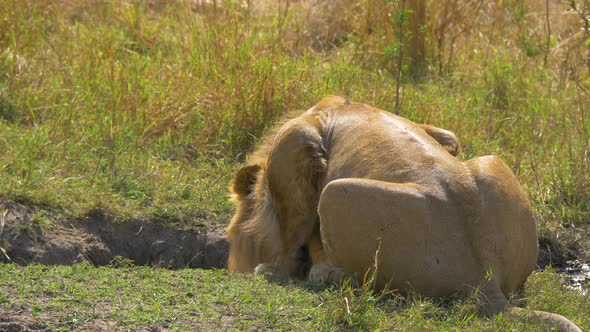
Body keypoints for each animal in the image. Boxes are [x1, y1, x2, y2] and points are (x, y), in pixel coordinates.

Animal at [227, 96, 584, 332]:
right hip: (491, 162)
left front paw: (271, 268)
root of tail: (487, 279)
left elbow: (291, 232)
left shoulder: (294, 144)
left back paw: (322, 272)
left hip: (334, 194)